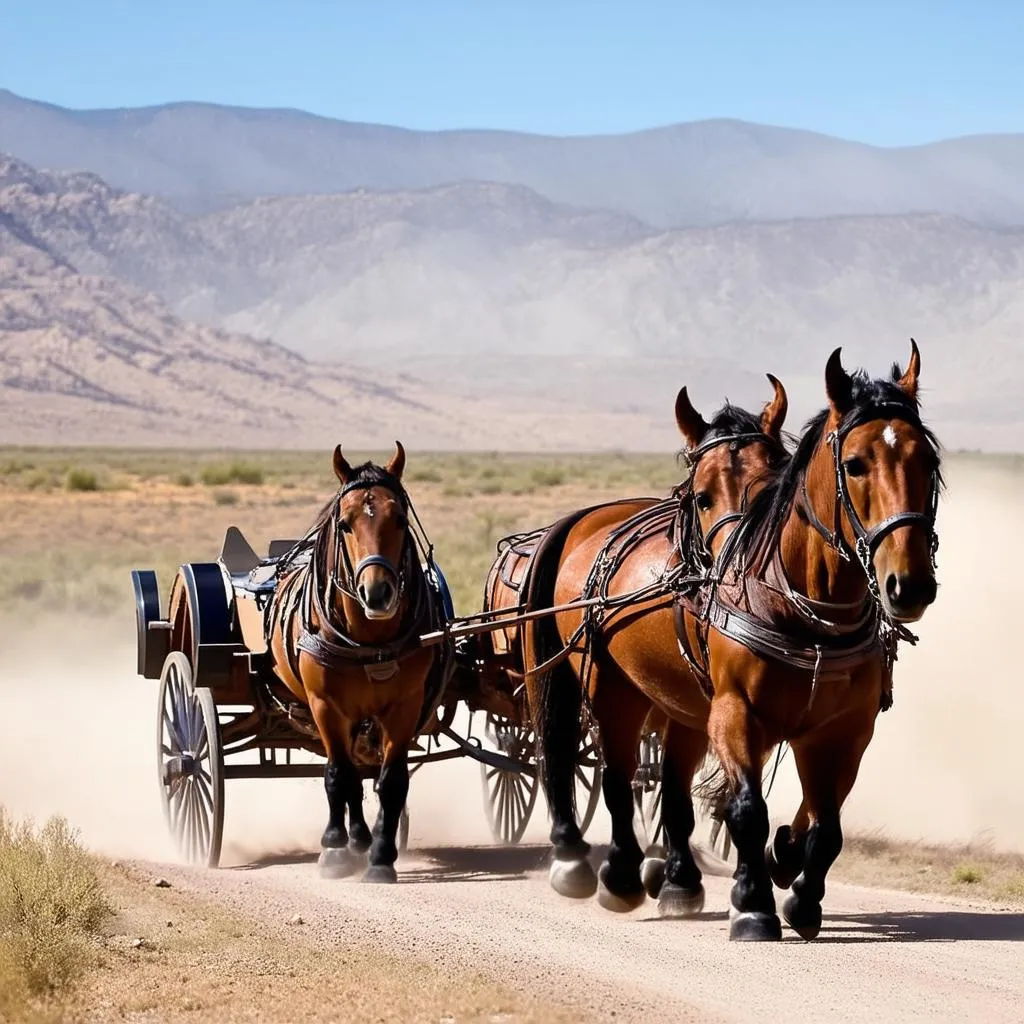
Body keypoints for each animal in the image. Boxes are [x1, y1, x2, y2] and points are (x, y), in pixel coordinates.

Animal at [266, 440, 450, 880]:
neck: (369, 642)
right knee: (349, 773)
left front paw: (381, 856)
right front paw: (334, 848)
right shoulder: (325, 706)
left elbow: (391, 781)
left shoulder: (405, 705)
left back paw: (364, 839)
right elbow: (338, 775)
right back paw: (350, 840)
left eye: (399, 518)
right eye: (346, 523)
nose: (377, 593)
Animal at [516, 374, 794, 913]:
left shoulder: (708, 706)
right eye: (701, 496)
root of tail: (587, 519)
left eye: (772, 484)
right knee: (584, 760)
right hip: (603, 684)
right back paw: (587, 861)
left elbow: (682, 791)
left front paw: (683, 877)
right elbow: (637, 783)